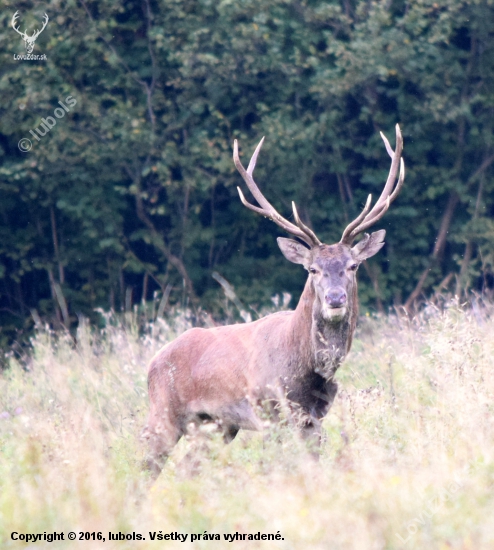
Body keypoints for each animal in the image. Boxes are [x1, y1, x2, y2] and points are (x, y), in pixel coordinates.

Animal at [144, 125, 406, 478]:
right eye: (312, 269)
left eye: (353, 266)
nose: (336, 298)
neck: (305, 367)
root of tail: (152, 363)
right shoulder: (268, 408)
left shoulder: (314, 416)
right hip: (164, 413)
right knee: (145, 466)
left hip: (215, 425)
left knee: (188, 467)